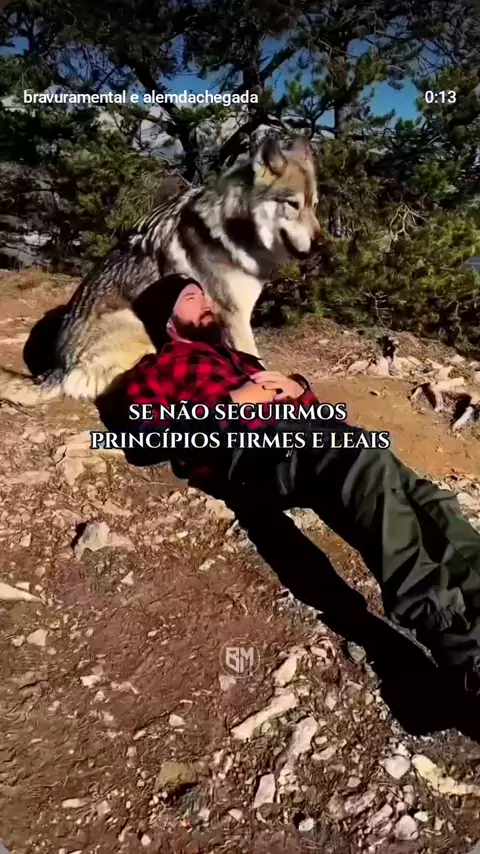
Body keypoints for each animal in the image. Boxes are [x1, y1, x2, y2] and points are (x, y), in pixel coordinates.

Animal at [0, 135, 321, 407]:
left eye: (314, 205)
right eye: (293, 204)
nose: (321, 244)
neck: (236, 229)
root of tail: (58, 367)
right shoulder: (234, 316)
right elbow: (253, 362)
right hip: (140, 334)